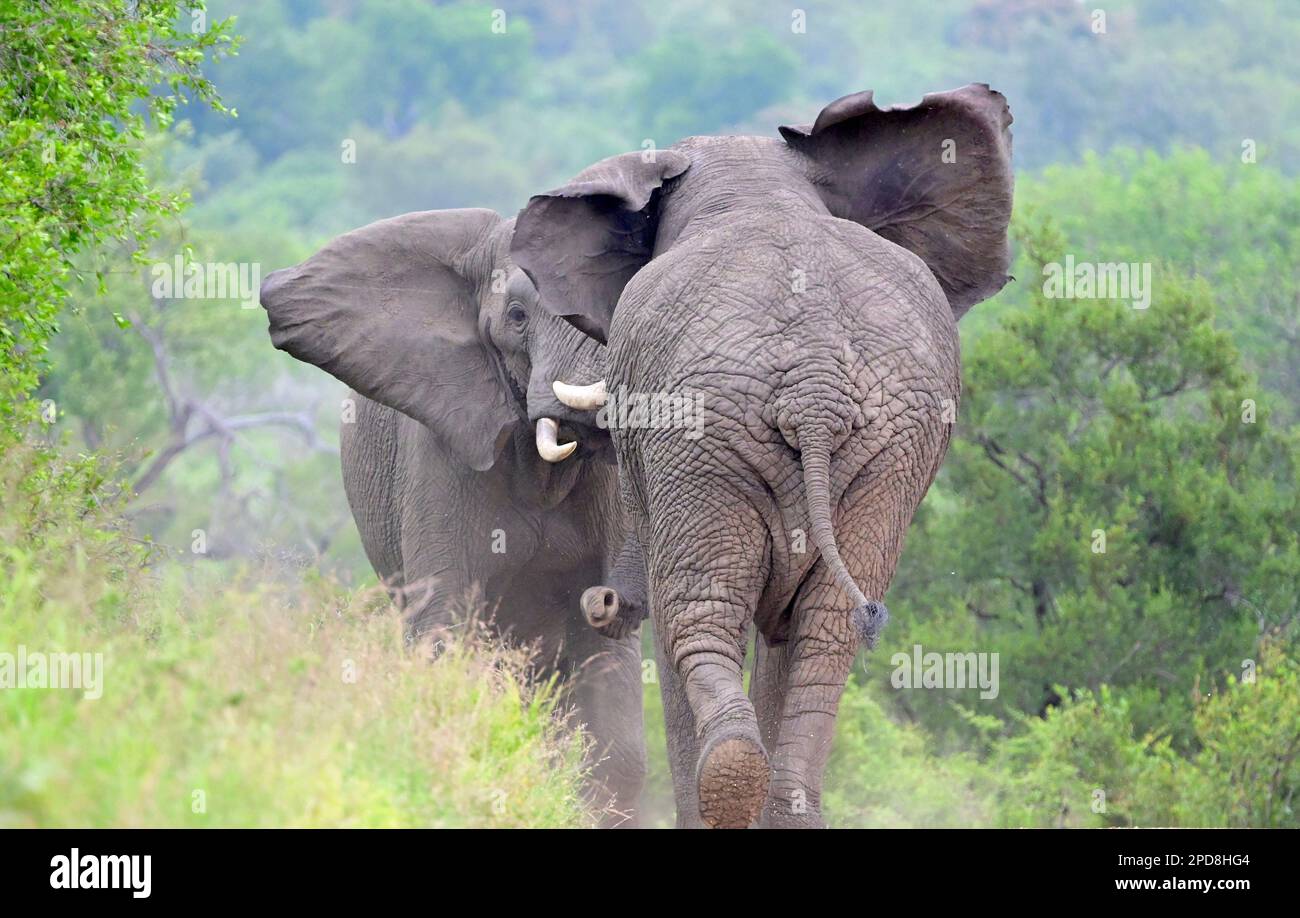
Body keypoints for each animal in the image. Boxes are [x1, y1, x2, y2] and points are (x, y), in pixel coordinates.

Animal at [509, 85, 1013, 826]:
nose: (598, 604)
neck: (754, 184)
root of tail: (814, 383)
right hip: (888, 450)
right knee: (824, 632)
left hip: (707, 441)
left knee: (699, 613)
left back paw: (728, 786)